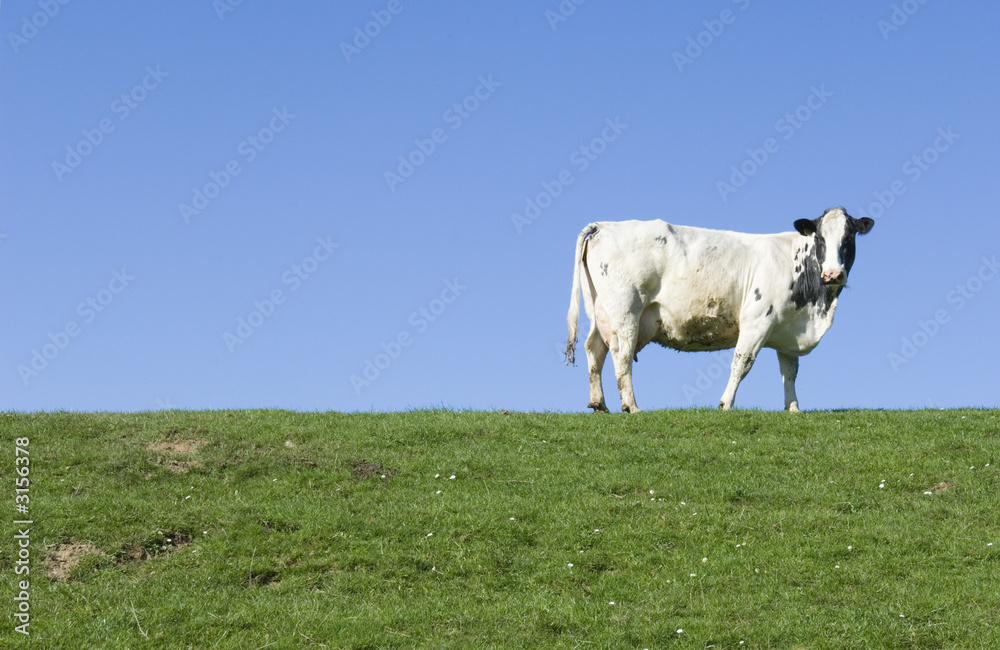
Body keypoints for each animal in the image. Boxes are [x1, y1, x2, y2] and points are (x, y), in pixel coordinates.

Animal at [565, 207, 874, 412]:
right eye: (820, 239)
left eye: (849, 238)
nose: (833, 274)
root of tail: (604, 225)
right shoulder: (757, 321)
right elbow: (742, 363)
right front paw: (726, 404)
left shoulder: (788, 331)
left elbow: (789, 372)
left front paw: (793, 409)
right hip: (626, 310)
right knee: (622, 355)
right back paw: (632, 406)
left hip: (600, 311)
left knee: (595, 349)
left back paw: (599, 404)